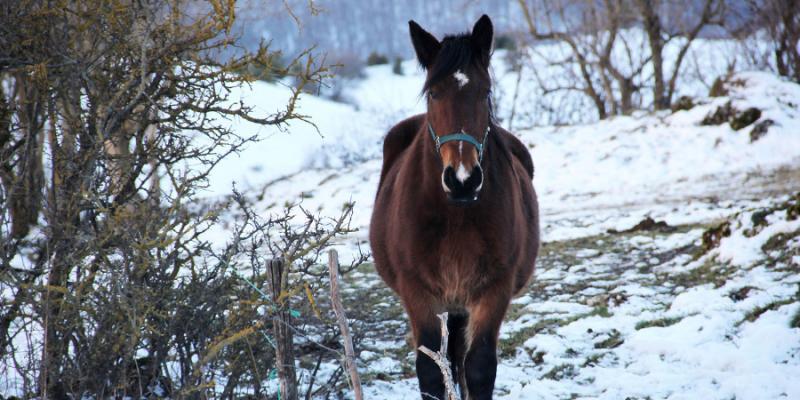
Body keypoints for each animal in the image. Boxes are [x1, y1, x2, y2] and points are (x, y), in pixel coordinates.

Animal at [368, 14, 536, 400]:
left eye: (485, 92)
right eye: (433, 93)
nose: (462, 180)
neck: (455, 215)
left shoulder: (494, 288)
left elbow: (479, 368)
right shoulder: (418, 292)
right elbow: (431, 370)